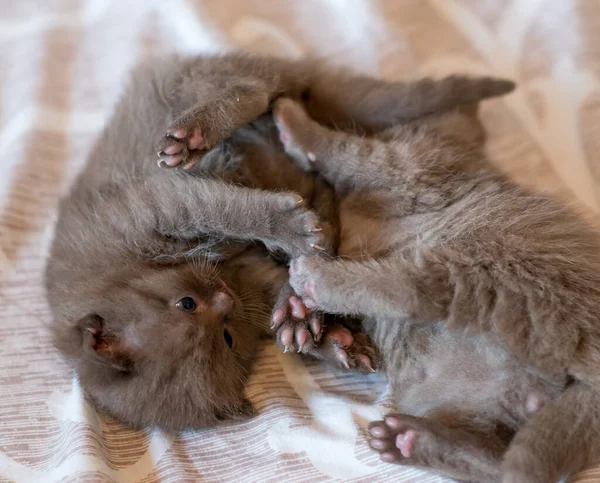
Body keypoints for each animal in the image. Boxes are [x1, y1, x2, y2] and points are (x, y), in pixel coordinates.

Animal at [44, 53, 510, 432]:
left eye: (185, 304)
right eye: (228, 338)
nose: (223, 300)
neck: (120, 269)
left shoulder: (158, 201)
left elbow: (222, 207)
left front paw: (290, 228)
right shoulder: (245, 276)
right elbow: (277, 287)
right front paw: (324, 336)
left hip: (195, 82)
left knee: (255, 91)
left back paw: (195, 133)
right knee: (325, 199)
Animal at [274, 95, 600, 483]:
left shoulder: (402, 166)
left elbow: (341, 149)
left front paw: (291, 118)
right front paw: (301, 318)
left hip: (487, 263)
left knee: (410, 288)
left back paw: (316, 279)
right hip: (462, 396)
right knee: (494, 461)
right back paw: (412, 440)